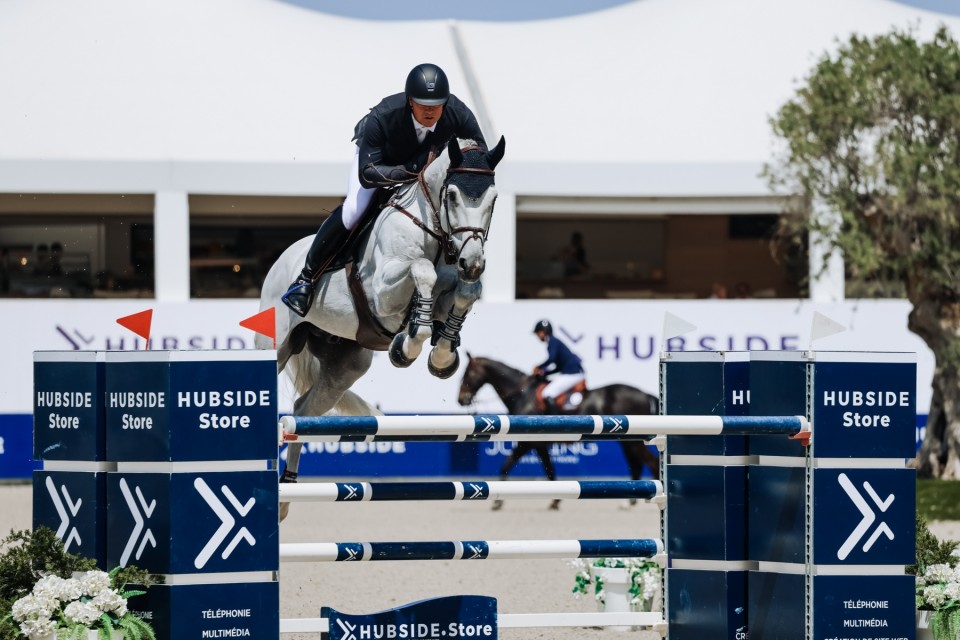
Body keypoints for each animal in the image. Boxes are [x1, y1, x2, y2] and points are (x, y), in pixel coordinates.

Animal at [256, 136, 510, 520]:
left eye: (493, 199)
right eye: (452, 195)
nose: (473, 262)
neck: (436, 230)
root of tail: (282, 260)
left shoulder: (454, 287)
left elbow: (464, 293)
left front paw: (441, 355)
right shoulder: (383, 295)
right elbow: (422, 270)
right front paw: (407, 347)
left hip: (345, 367)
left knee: (301, 413)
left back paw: (287, 491)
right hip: (279, 343)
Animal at [458, 352, 660, 508]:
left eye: (467, 374)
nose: (461, 400)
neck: (523, 395)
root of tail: (644, 393)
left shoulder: (529, 443)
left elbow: (515, 466)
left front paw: (498, 502)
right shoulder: (534, 444)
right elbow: (541, 469)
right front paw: (555, 501)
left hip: (633, 441)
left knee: (651, 462)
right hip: (627, 441)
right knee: (637, 464)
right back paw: (629, 501)